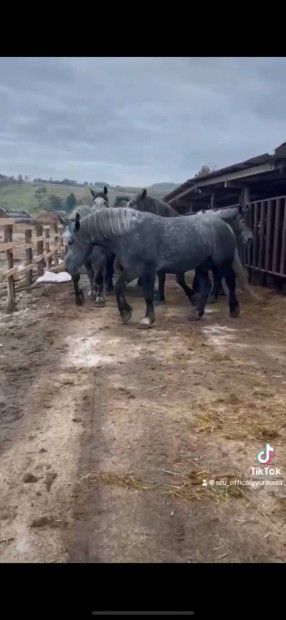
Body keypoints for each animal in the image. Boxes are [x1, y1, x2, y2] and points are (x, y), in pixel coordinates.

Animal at [63, 206, 255, 330]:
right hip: (202, 265)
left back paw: (234, 309)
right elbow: (118, 287)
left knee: (230, 282)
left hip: (222, 263)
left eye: (70, 241)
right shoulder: (133, 269)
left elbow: (148, 295)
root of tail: (224, 224)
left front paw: (148, 319)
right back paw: (196, 313)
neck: (128, 232)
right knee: (206, 287)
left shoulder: (146, 270)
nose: (67, 266)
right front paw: (126, 313)